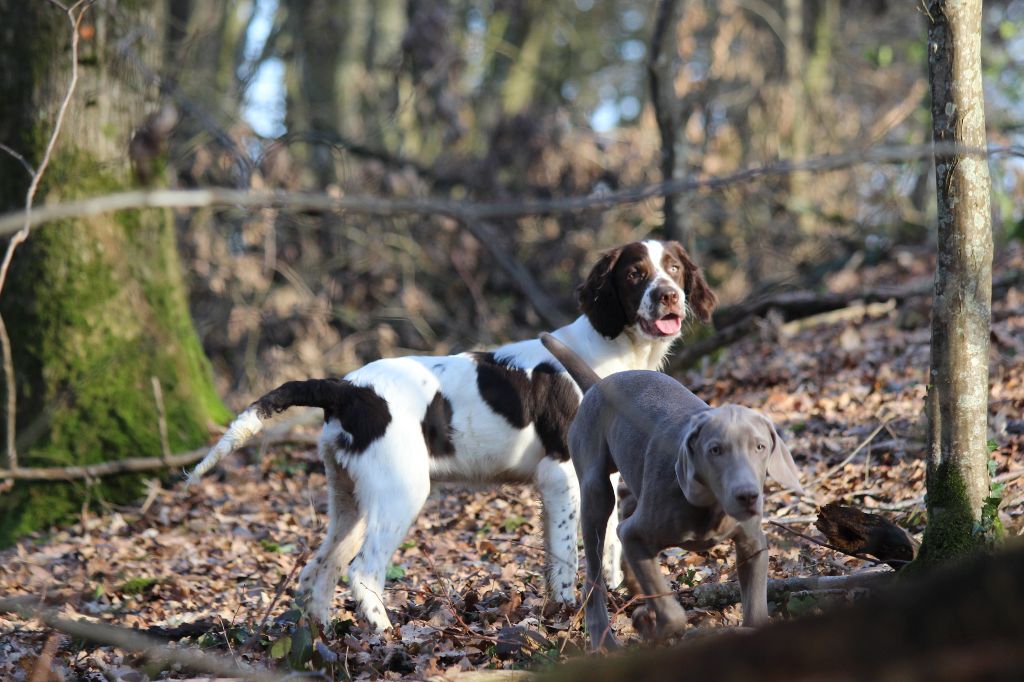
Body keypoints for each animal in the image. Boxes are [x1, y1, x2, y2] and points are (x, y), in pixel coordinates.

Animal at [540, 331, 802, 651]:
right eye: (715, 450)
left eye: (760, 446)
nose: (748, 496)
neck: (711, 507)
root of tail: (600, 384)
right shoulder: (635, 533)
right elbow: (674, 613)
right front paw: (648, 625)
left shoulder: (753, 544)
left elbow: (756, 612)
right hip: (595, 490)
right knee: (593, 575)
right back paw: (606, 641)